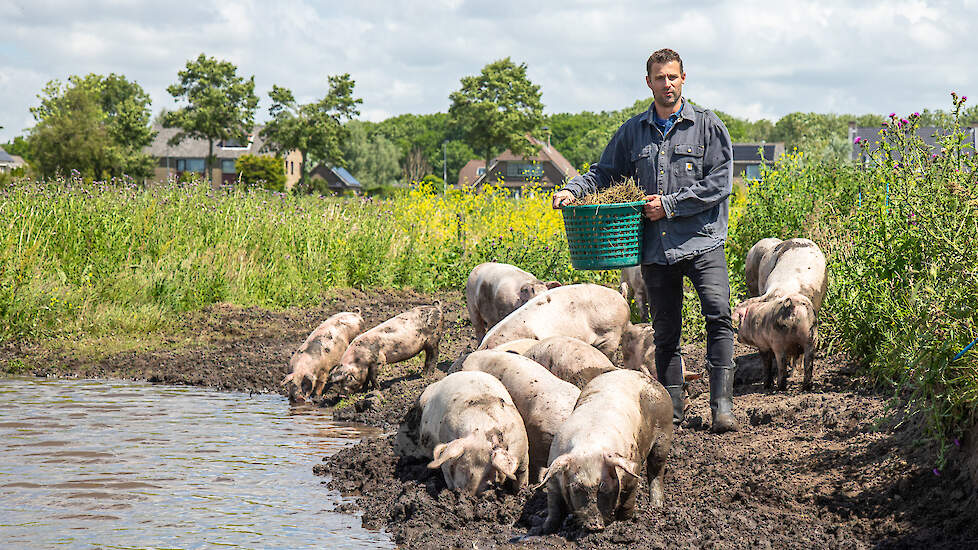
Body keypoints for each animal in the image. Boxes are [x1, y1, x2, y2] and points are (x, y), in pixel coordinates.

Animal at [390, 370, 528, 496]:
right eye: (461, 467)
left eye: (489, 474)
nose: (468, 495)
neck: (483, 428)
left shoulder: (523, 450)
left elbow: (522, 475)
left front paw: (520, 493)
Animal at [532, 370, 672, 536]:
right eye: (576, 487)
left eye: (603, 486)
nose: (595, 526)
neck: (588, 443)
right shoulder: (554, 470)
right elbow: (554, 508)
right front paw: (543, 530)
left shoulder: (633, 470)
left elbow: (627, 502)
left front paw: (624, 523)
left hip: (664, 434)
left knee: (656, 470)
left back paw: (656, 506)